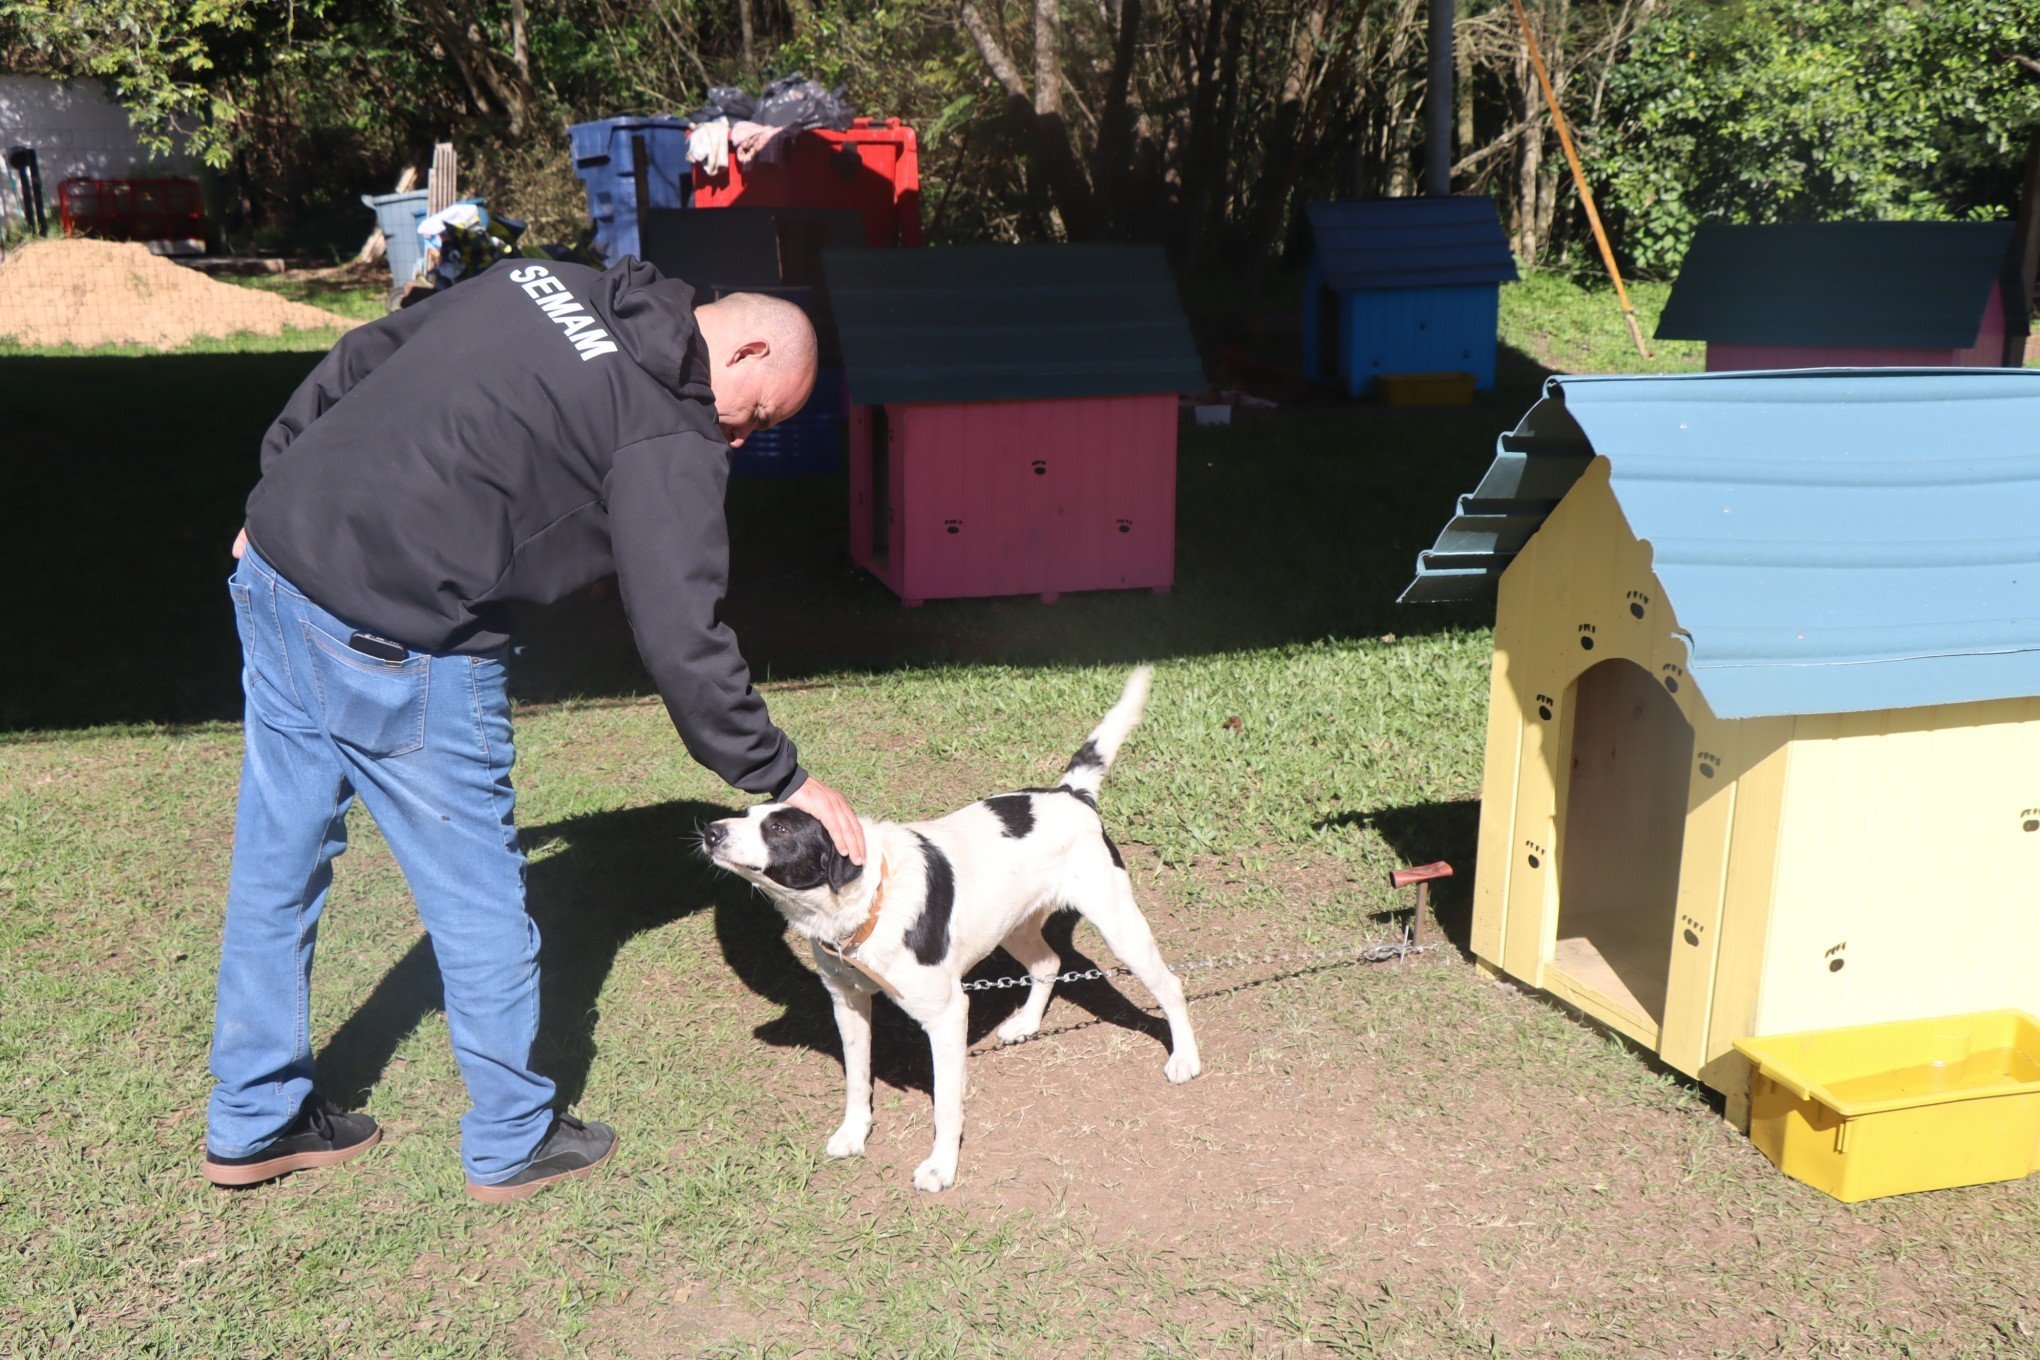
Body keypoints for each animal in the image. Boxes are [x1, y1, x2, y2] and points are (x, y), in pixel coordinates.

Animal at [709, 668, 1199, 1190]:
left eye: (779, 830)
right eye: (746, 815)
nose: (710, 831)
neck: (873, 901)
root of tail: (1070, 794)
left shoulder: (946, 1015)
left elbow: (945, 1105)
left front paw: (941, 1166)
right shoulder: (848, 1001)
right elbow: (857, 1080)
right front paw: (854, 1133)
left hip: (1119, 927)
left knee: (1170, 984)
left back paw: (1185, 1058)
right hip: (1012, 925)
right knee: (1049, 961)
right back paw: (1026, 1023)